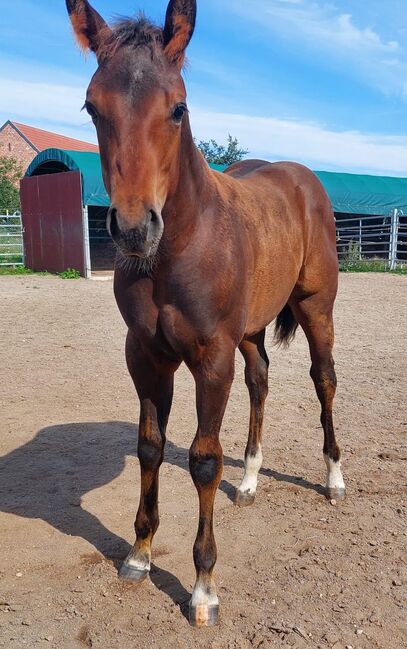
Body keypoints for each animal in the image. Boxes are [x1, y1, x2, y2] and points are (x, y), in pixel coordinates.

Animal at [67, 0, 348, 628]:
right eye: (92, 106)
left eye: (179, 108)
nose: (133, 229)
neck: (180, 246)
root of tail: (301, 176)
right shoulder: (146, 356)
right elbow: (150, 445)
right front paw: (139, 555)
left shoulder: (210, 358)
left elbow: (201, 460)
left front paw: (202, 589)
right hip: (250, 331)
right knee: (261, 380)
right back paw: (249, 481)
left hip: (315, 310)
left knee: (323, 380)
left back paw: (335, 478)